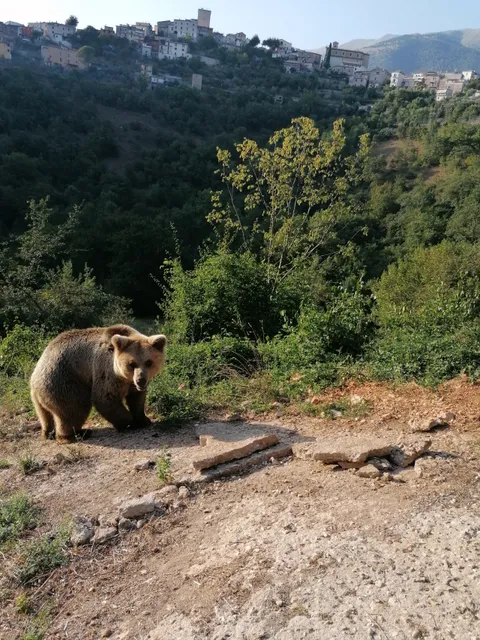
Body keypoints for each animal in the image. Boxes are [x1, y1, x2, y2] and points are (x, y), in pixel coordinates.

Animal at [30, 324, 166, 444]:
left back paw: (49, 433)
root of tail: (35, 376)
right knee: (75, 408)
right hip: (64, 379)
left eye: (149, 362)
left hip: (39, 396)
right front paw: (130, 423)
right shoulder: (107, 371)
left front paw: (143, 420)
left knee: (45, 413)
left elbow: (136, 399)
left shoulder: (131, 384)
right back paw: (76, 434)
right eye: (132, 364)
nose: (140, 380)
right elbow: (105, 398)